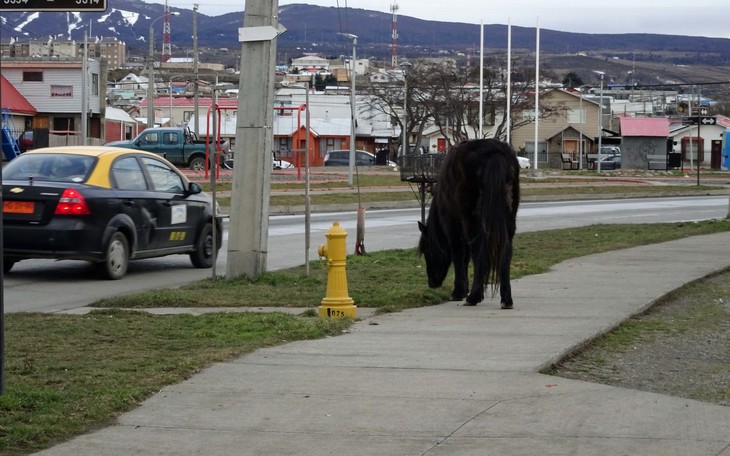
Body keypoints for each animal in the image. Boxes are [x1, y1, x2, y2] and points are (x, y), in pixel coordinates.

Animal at [416, 139, 516, 308]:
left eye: (427, 250)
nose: (432, 283)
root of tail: (494, 153)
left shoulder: (453, 224)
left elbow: (458, 254)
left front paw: (459, 291)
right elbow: (466, 256)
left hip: (473, 220)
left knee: (479, 253)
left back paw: (474, 297)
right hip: (508, 218)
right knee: (506, 251)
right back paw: (506, 299)